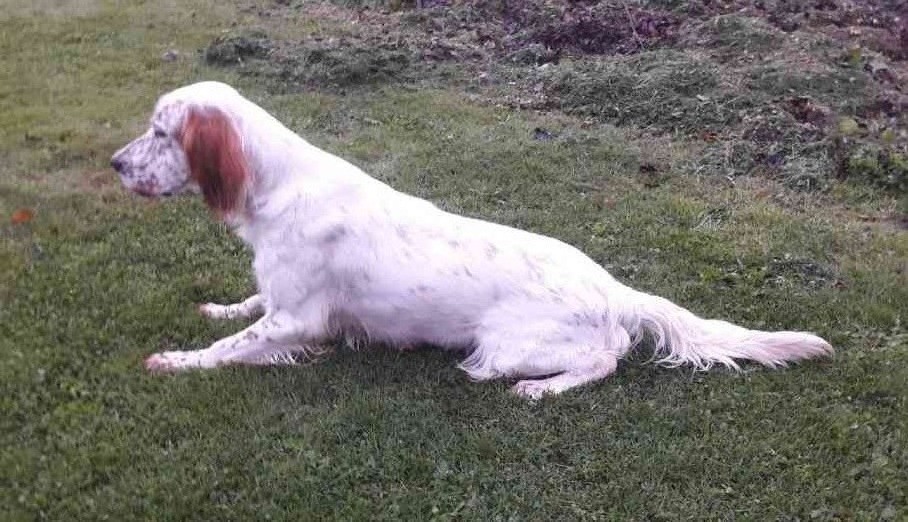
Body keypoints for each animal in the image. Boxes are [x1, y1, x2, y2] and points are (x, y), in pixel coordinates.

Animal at [110, 81, 832, 399]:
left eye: (160, 133)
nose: (116, 164)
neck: (277, 187)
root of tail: (612, 288)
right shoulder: (283, 298)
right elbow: (245, 307)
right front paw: (217, 306)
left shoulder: (300, 320)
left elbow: (231, 346)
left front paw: (175, 360)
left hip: (505, 344)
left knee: (607, 356)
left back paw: (540, 389)